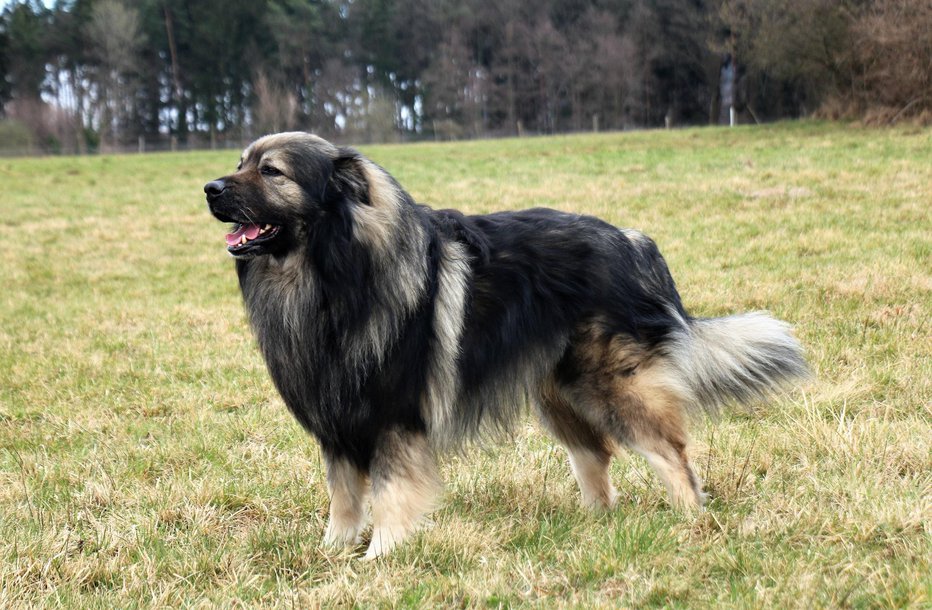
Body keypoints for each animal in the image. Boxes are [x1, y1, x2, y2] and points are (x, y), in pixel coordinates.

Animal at [204, 132, 808, 556]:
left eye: (271, 171)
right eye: (240, 162)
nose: (210, 188)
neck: (331, 272)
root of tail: (634, 243)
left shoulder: (394, 419)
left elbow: (391, 492)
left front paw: (381, 554)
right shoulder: (339, 422)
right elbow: (344, 496)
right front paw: (333, 551)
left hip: (612, 387)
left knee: (670, 453)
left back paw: (691, 521)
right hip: (558, 393)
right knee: (595, 455)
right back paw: (595, 525)